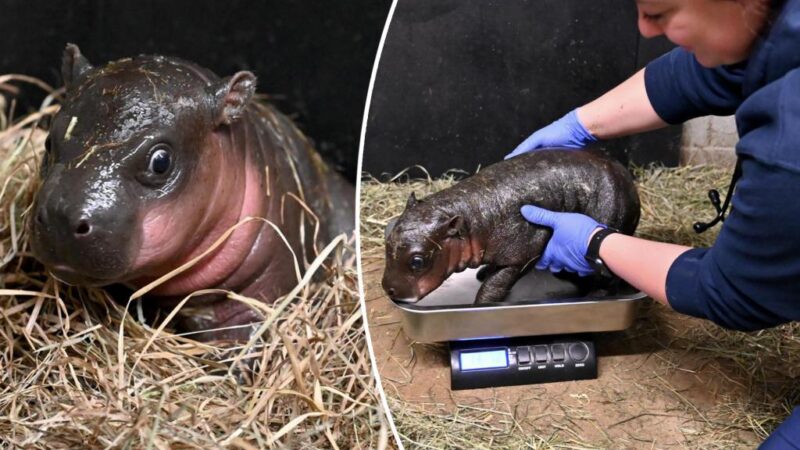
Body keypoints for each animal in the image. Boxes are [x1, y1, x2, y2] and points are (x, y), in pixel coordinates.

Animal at [384, 149, 640, 304]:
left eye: (418, 261)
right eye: (387, 239)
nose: (388, 289)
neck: (471, 217)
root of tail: (628, 178)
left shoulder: (523, 251)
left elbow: (496, 283)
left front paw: (480, 304)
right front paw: (483, 272)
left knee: (608, 277)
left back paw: (597, 294)